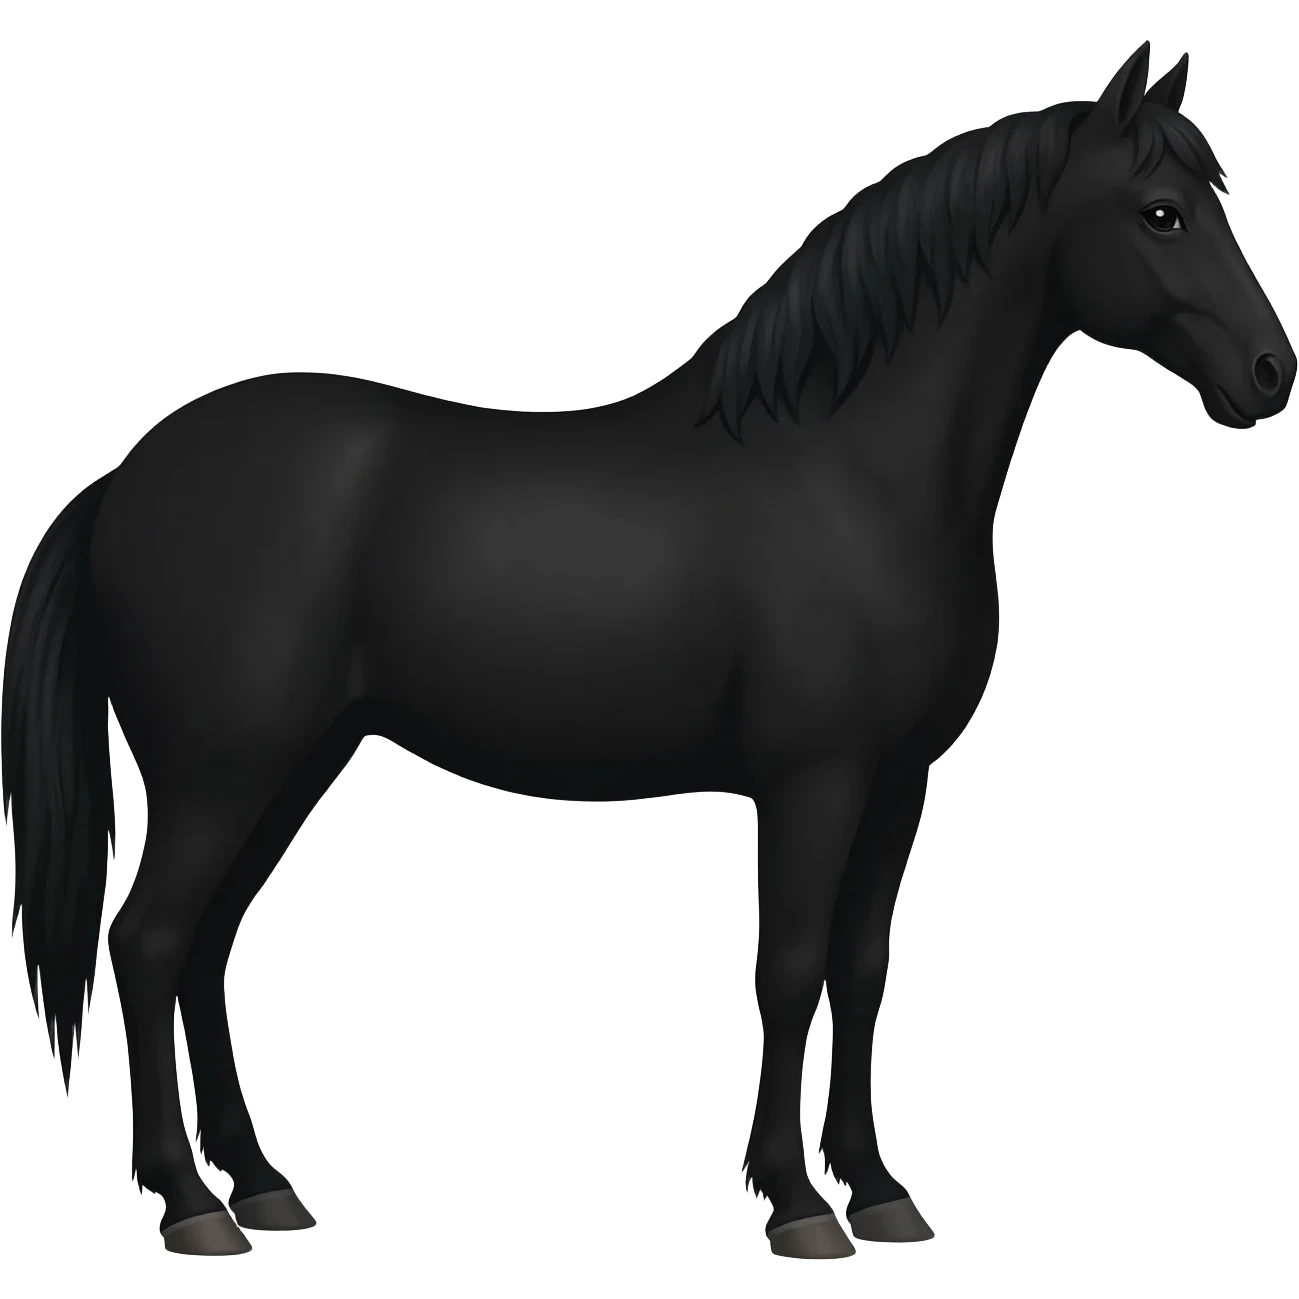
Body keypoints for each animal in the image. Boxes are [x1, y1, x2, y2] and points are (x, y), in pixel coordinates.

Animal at [2, 39, 1293, 1259]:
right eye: (1161, 212)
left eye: (1213, 192)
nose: (1270, 374)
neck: (851, 474)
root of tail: (123, 482)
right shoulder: (815, 779)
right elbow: (791, 967)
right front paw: (795, 1204)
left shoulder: (899, 780)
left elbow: (861, 969)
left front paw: (876, 1190)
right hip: (223, 772)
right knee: (148, 943)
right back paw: (189, 1205)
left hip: (291, 765)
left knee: (202, 947)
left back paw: (261, 1186)